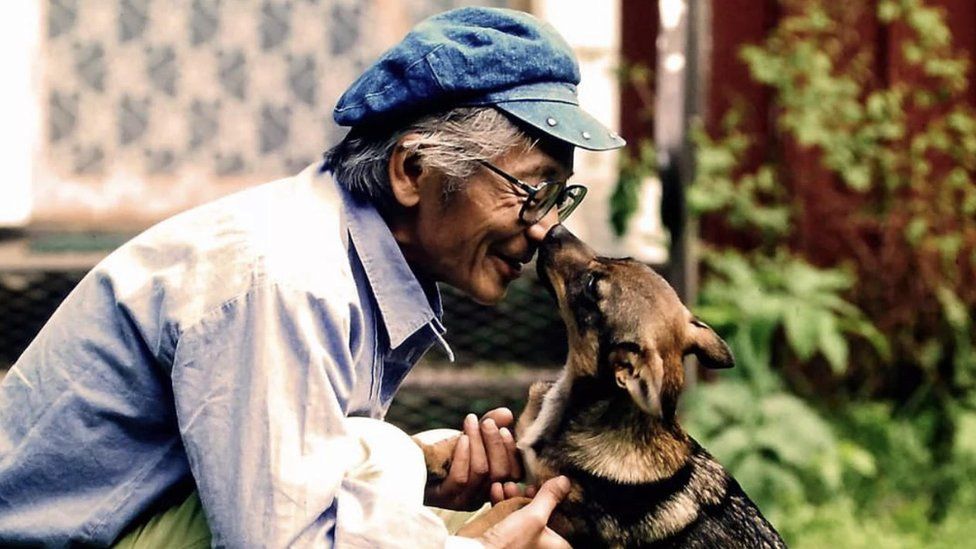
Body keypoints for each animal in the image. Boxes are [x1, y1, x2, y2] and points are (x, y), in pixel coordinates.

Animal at [418, 225, 784, 544]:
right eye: (625, 259)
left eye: (593, 287)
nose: (554, 229)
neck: (569, 405)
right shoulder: (522, 446)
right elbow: (456, 440)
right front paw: (420, 451)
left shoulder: (561, 513)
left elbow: (512, 504)